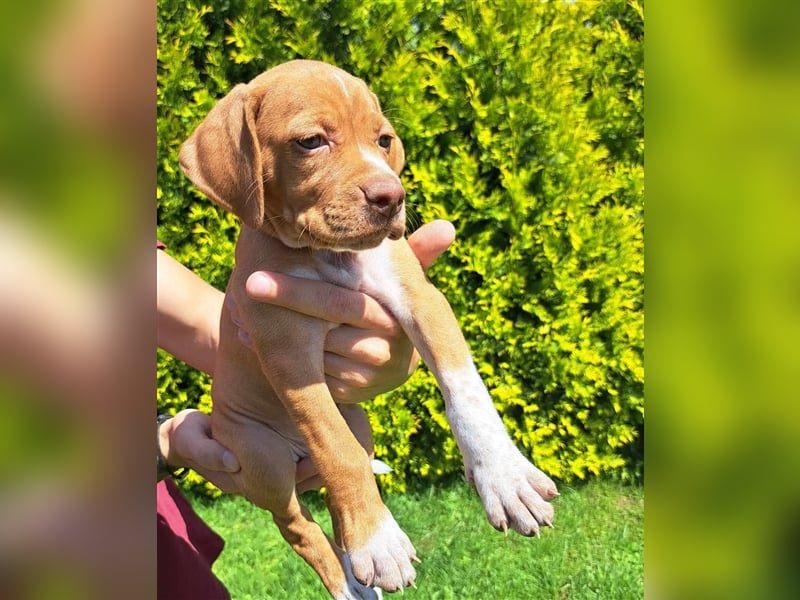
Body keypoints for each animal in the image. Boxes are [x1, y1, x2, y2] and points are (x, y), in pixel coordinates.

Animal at [180, 57, 556, 600]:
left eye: (383, 140)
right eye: (311, 142)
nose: (392, 197)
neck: (329, 255)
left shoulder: (422, 300)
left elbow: (466, 390)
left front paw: (506, 478)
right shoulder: (285, 349)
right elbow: (332, 443)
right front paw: (378, 543)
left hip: (360, 427)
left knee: (338, 499)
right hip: (263, 457)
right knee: (302, 526)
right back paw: (349, 577)